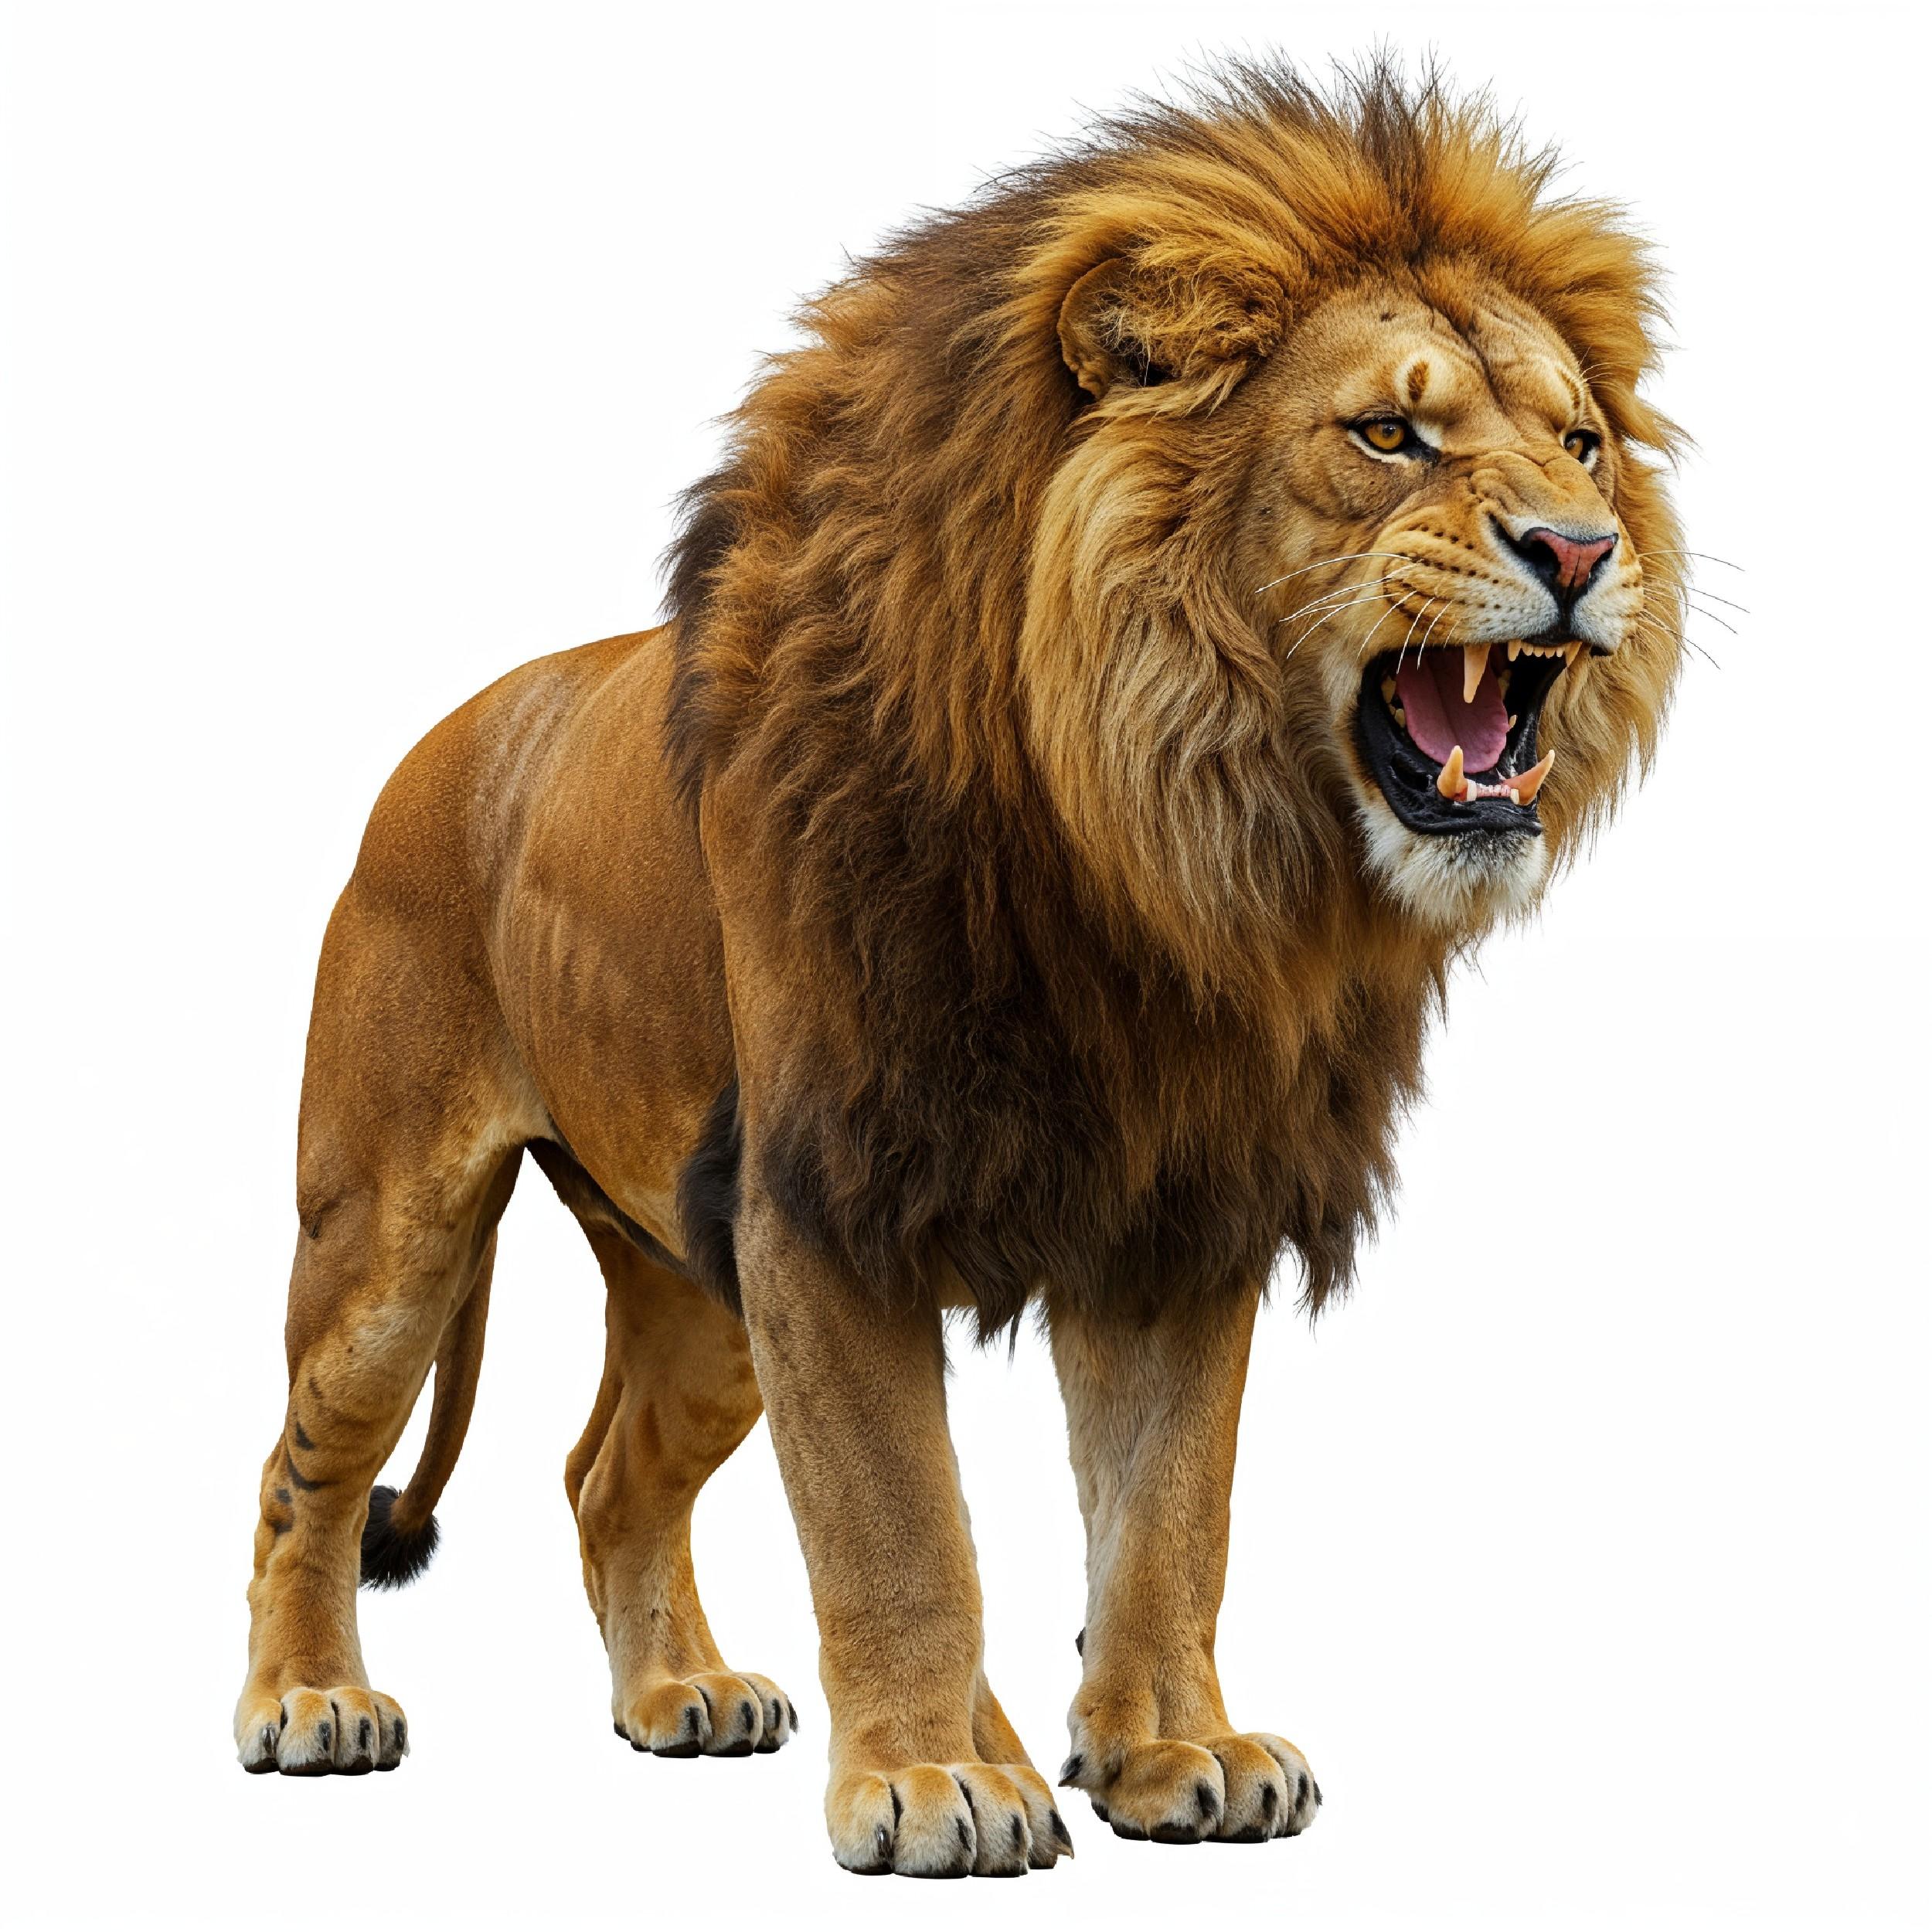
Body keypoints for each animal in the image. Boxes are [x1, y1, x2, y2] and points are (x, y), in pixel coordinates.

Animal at [234, 60, 1684, 1877]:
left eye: (1578, 440)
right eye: (1386, 433)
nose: (1582, 548)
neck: (1149, 856)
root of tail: (442, 739)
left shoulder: (1178, 1202)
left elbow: (1169, 1511)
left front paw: (1171, 1749)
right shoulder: (825, 1199)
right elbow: (899, 1520)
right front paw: (937, 1776)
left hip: (693, 1276)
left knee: (604, 1474)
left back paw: (680, 1692)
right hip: (395, 1232)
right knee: (302, 1470)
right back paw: (307, 1700)